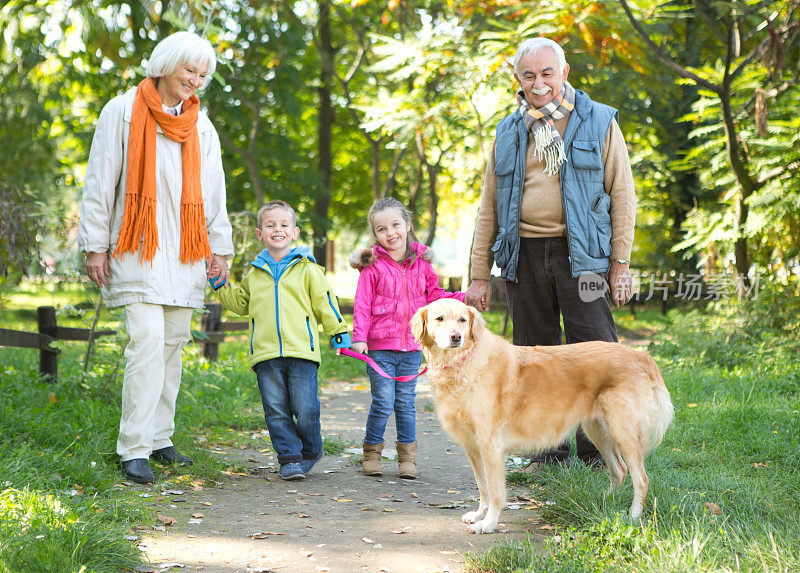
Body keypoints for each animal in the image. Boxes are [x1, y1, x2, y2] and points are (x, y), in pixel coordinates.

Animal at [412, 298, 676, 536]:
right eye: (439, 319)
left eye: (462, 320)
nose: (456, 337)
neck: (462, 363)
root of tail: (641, 356)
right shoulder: (472, 446)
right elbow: (483, 486)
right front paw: (479, 514)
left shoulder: (490, 446)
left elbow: (496, 492)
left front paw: (488, 524)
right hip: (598, 430)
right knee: (620, 471)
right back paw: (603, 502)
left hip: (623, 432)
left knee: (641, 479)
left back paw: (633, 516)